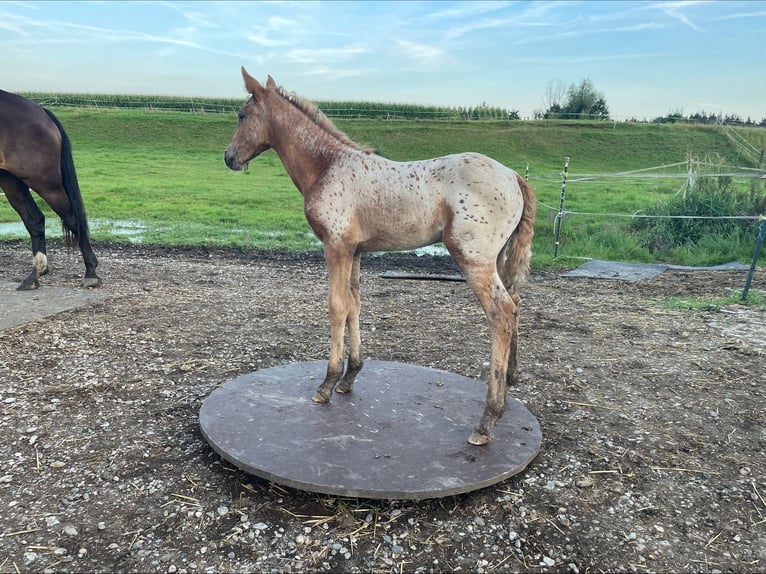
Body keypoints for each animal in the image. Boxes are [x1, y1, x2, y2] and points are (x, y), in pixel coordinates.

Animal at [0, 91, 100, 290]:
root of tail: (42, 112)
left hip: (45, 183)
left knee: (72, 218)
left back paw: (91, 272)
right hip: (10, 179)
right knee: (34, 219)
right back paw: (35, 275)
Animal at [225, 67, 536, 446]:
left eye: (241, 115)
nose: (229, 157)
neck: (327, 165)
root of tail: (514, 176)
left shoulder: (336, 246)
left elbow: (336, 306)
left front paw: (327, 383)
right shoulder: (356, 251)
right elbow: (354, 304)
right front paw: (350, 377)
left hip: (473, 258)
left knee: (501, 314)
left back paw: (487, 420)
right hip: (498, 258)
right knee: (516, 304)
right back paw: (508, 386)